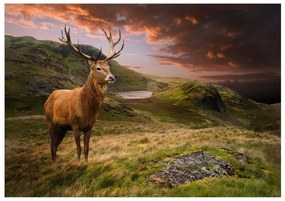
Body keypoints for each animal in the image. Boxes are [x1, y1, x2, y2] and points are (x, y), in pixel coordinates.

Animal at [44, 25, 123, 163]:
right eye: (98, 68)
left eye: (108, 67)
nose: (112, 77)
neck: (87, 110)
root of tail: (48, 98)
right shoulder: (75, 125)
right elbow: (79, 148)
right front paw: (78, 163)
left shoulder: (89, 127)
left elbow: (87, 148)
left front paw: (86, 163)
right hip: (51, 122)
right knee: (52, 145)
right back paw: (53, 165)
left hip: (62, 128)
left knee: (55, 145)